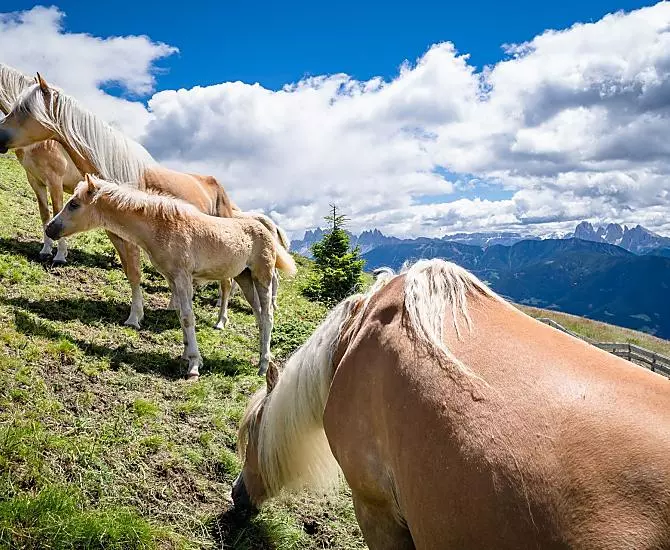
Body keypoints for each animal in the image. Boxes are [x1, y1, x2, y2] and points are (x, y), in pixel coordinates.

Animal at [0, 64, 81, 265]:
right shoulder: (35, 181)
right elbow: (45, 214)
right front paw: (46, 250)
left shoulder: (55, 181)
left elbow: (58, 211)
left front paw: (60, 256)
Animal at [45, 175, 296, 379]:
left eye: (74, 204)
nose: (49, 228)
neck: (163, 227)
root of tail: (267, 229)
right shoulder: (171, 278)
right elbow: (179, 315)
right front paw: (186, 355)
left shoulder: (183, 276)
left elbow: (187, 316)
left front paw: (194, 365)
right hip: (244, 278)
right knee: (259, 315)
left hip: (262, 275)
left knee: (268, 315)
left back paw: (264, 365)